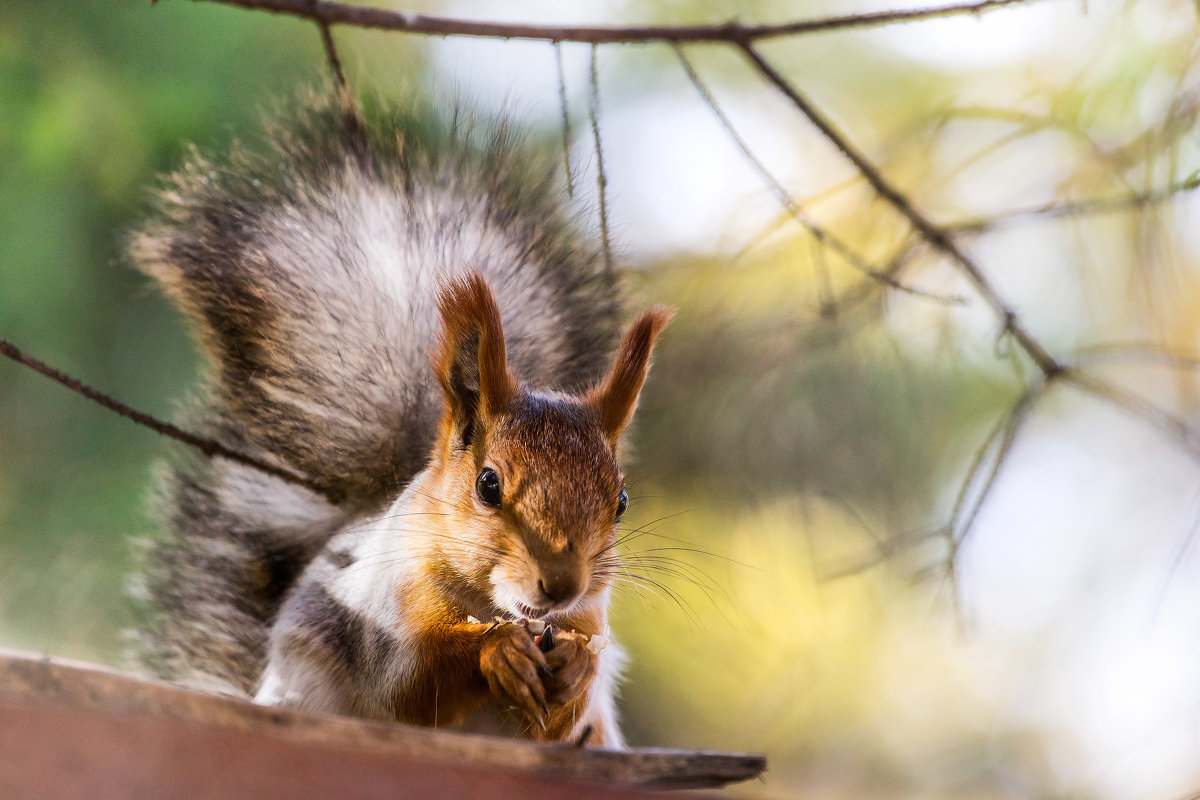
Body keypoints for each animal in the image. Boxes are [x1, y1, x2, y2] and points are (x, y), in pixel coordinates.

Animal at [132, 94, 676, 753]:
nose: (561, 585)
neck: (495, 604)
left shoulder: (588, 618)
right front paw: (497, 652)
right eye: (488, 485)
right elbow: (407, 688)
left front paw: (575, 665)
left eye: (620, 501)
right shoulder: (384, 614)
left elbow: (558, 717)